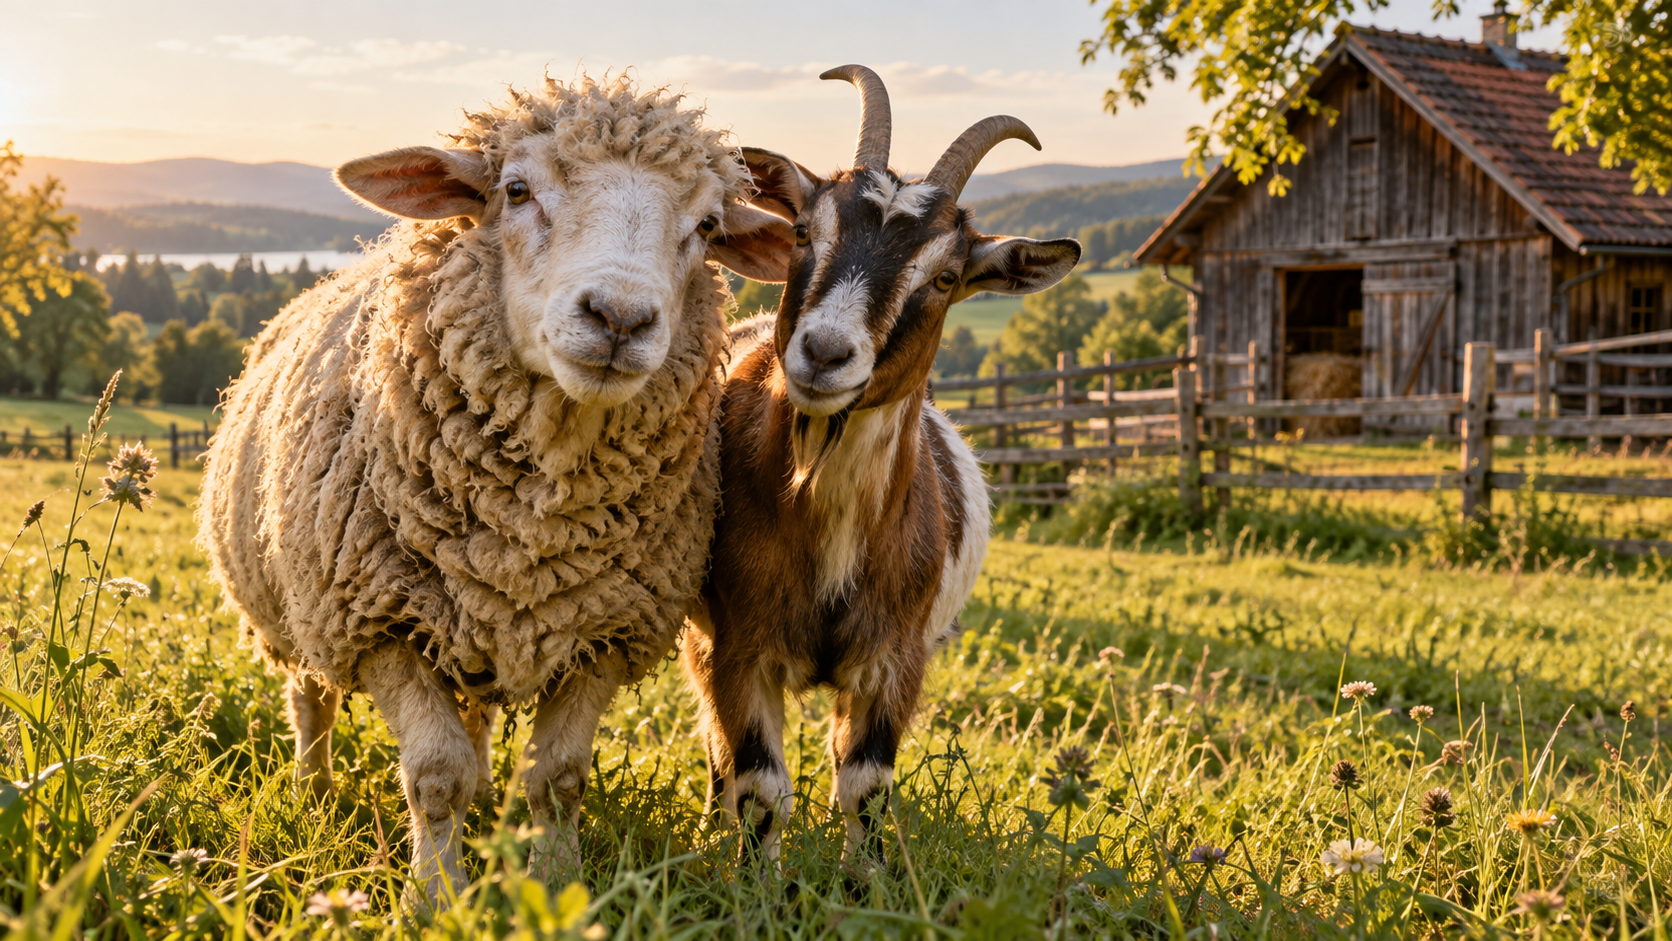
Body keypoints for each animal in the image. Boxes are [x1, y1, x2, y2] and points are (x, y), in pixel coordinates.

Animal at [197, 73, 794, 903]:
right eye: (516, 190)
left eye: (707, 225)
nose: (620, 317)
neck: (533, 522)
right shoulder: (380, 621)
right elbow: (435, 775)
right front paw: (435, 896)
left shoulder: (602, 630)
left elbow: (559, 780)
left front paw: (554, 880)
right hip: (301, 606)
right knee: (311, 700)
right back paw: (311, 792)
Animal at [681, 65, 1081, 866]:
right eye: (805, 231)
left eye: (947, 276)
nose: (825, 353)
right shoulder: (738, 648)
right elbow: (760, 786)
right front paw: (754, 883)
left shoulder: (896, 659)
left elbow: (865, 785)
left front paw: (866, 882)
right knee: (714, 744)